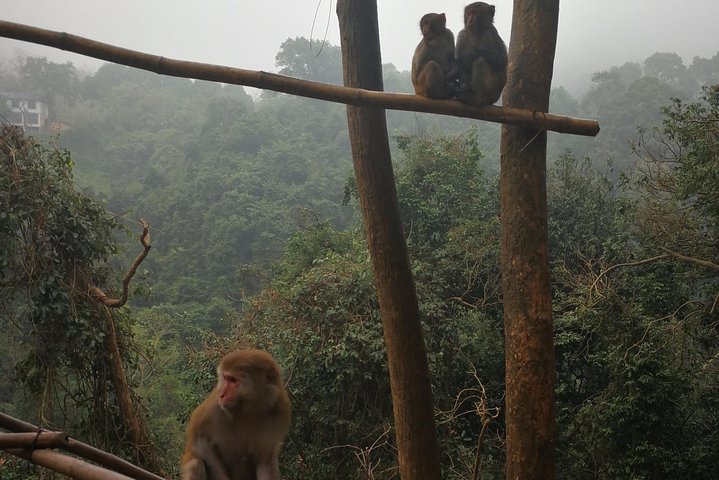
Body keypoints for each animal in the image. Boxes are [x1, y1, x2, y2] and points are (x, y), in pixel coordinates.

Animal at [181, 349, 291, 480]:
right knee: (195, 464)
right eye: (225, 378)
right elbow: (204, 446)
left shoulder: (279, 412)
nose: (222, 394)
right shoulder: (213, 409)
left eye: (233, 380)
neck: (248, 410)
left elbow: (266, 463)